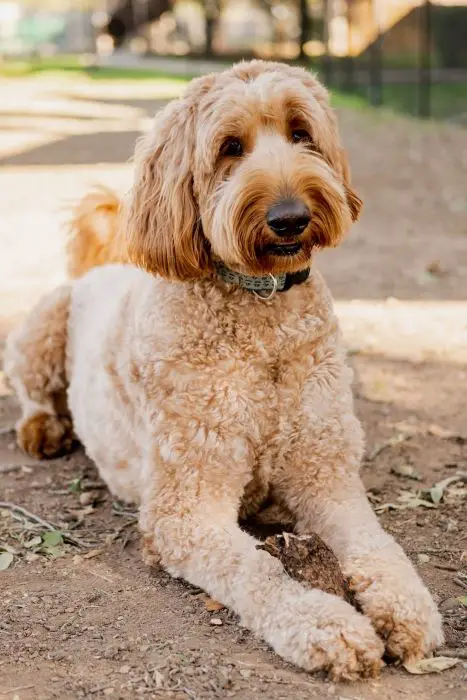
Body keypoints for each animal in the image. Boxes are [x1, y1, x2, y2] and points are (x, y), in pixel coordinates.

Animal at [5, 60, 443, 680]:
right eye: (230, 147)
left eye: (302, 133)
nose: (290, 218)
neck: (261, 314)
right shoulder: (187, 509)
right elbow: (259, 570)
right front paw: (327, 626)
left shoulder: (327, 478)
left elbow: (379, 545)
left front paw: (409, 608)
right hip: (44, 324)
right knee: (29, 387)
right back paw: (43, 428)